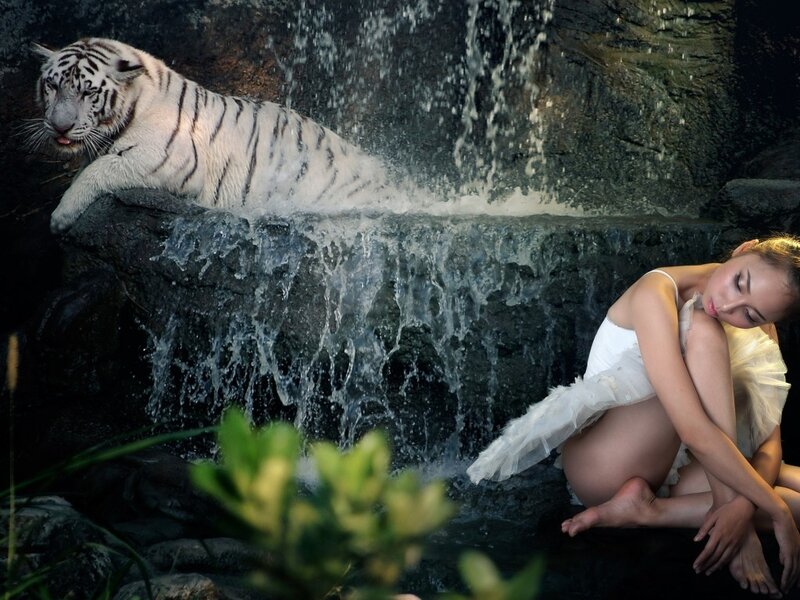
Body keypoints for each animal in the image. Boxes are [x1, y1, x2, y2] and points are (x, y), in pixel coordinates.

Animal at [27, 38, 395, 233]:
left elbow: (100, 170)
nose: (59, 126)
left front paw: (60, 216)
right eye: (53, 85)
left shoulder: (168, 161)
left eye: (88, 92)